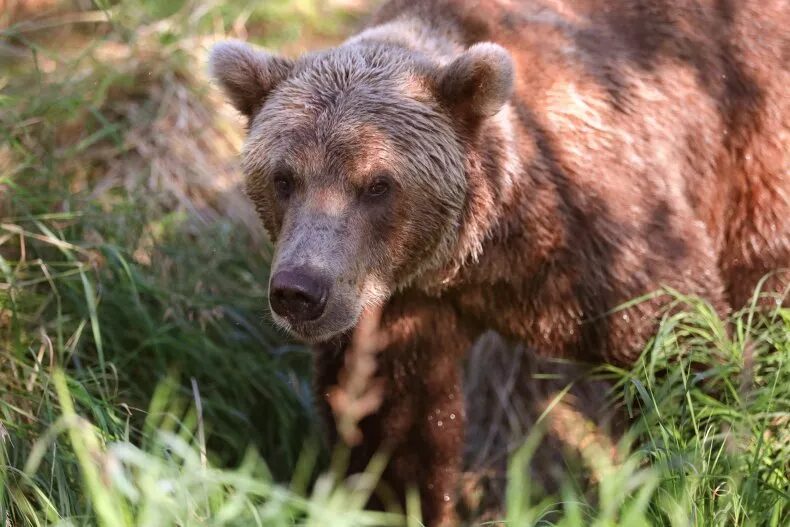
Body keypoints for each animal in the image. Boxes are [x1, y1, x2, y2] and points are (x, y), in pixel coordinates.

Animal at [210, 0, 789, 524]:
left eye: (376, 184)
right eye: (284, 177)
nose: (300, 291)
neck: (485, 251)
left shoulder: (605, 230)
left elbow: (681, 354)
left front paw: (698, 478)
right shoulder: (404, 306)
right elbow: (396, 422)